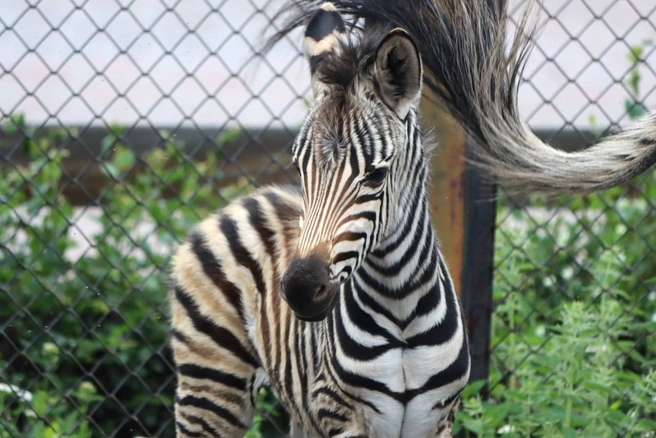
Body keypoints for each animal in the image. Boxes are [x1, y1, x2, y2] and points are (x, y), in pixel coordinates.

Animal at [169, 0, 656, 438]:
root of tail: (249, 197)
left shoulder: (435, 418)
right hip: (211, 386)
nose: (301, 290)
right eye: (300, 168)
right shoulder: (342, 416)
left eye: (376, 174)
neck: (400, 311)